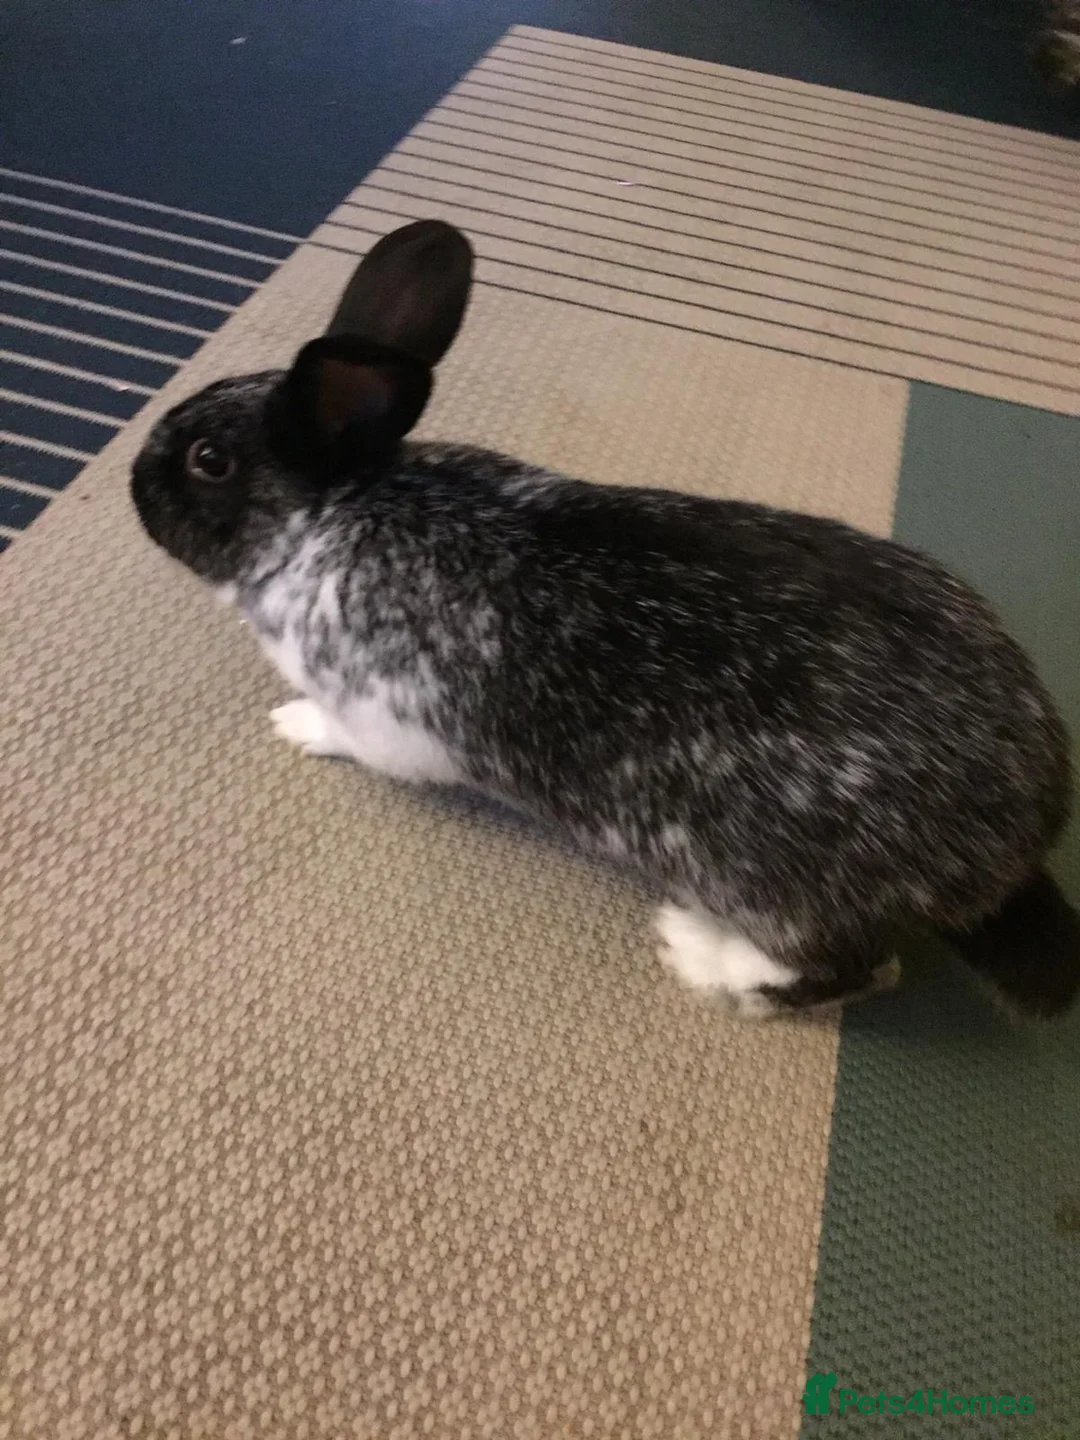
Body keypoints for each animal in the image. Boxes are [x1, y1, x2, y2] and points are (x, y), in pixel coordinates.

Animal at [131, 219, 1080, 1020]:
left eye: (207, 460)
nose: (133, 484)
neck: (328, 515)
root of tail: (1020, 834)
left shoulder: (383, 724)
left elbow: (347, 735)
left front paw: (294, 724)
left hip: (788, 890)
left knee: (853, 971)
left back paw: (700, 954)